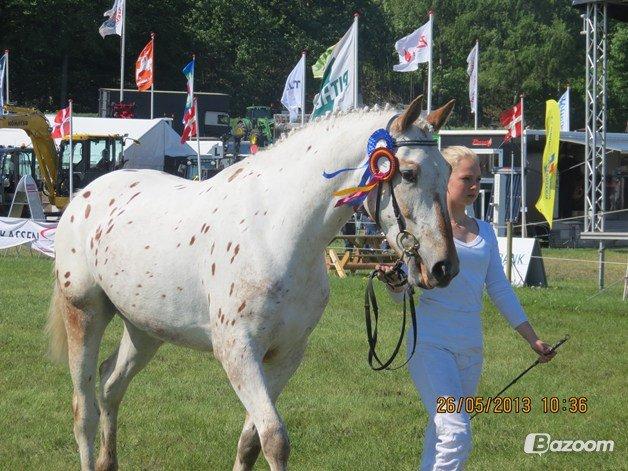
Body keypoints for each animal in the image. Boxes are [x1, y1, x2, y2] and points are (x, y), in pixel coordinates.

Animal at [45, 97, 456, 471]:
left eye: (448, 170)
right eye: (409, 173)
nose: (443, 267)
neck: (275, 231)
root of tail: (83, 196)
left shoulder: (285, 355)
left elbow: (251, 442)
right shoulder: (238, 352)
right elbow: (274, 439)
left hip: (144, 330)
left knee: (110, 386)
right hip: (85, 314)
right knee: (84, 409)